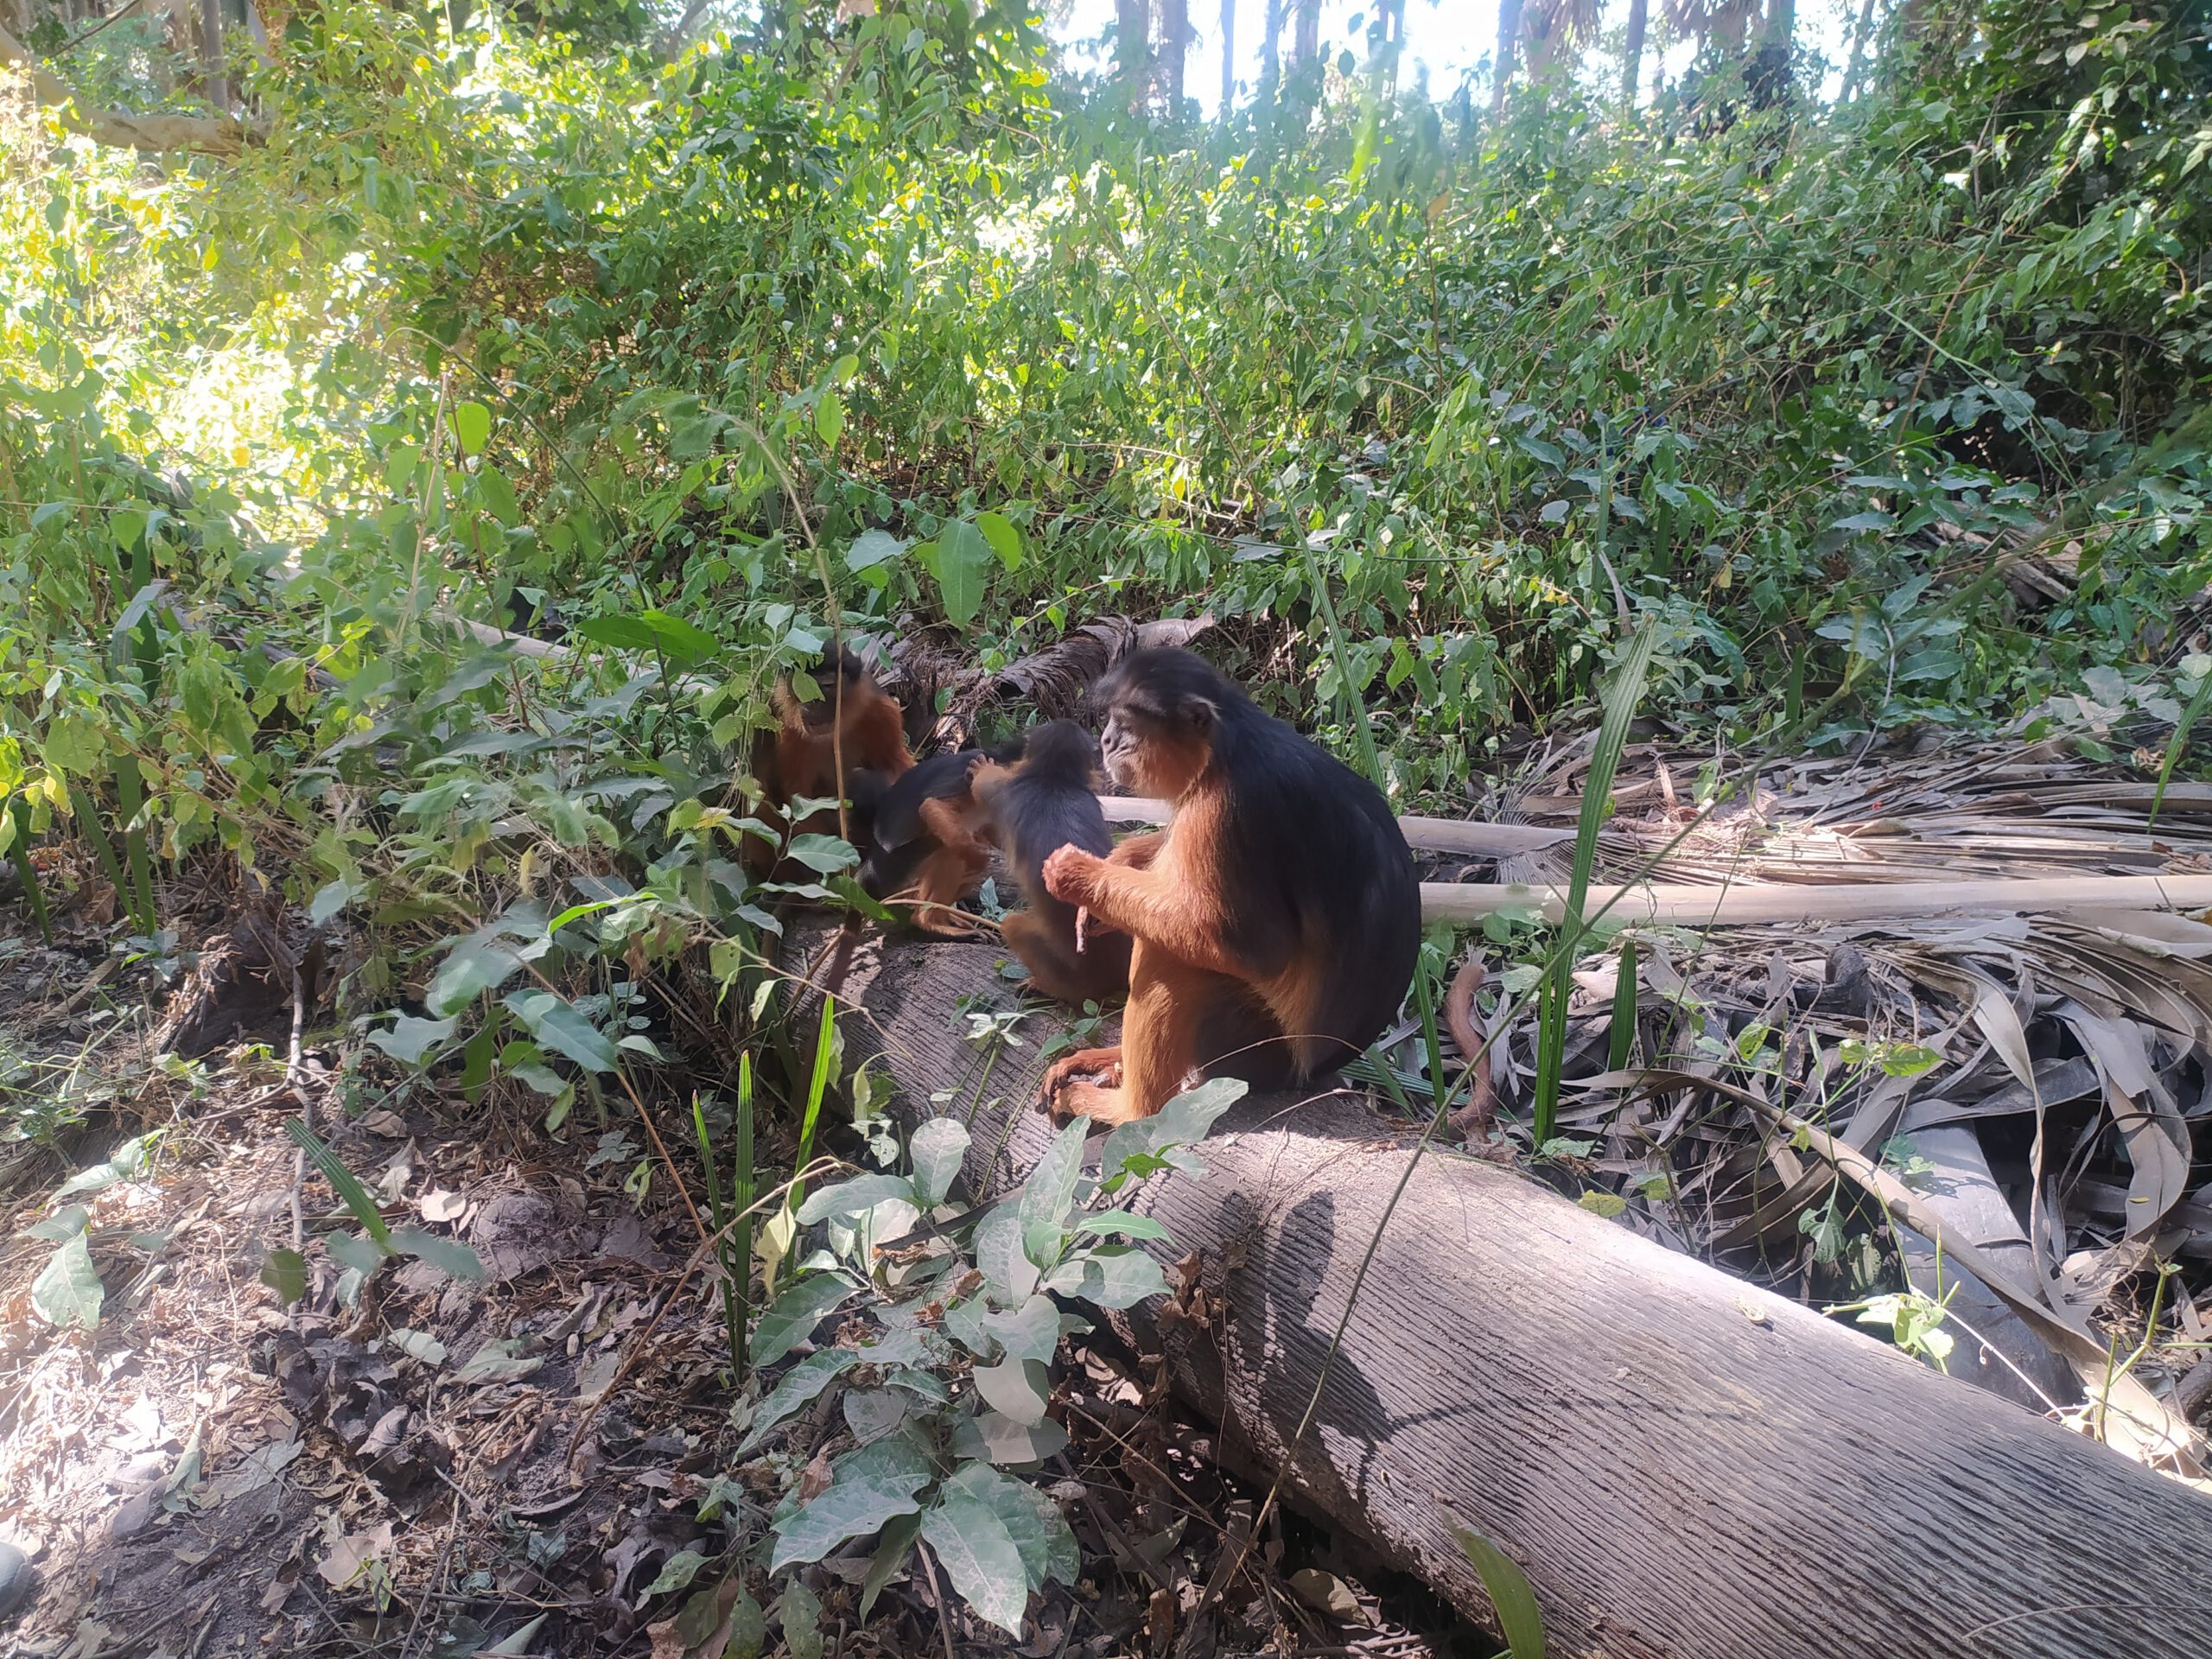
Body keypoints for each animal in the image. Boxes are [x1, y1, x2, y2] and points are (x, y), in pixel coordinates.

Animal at [973, 721, 1132, 1008]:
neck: (1055, 779)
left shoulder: (1007, 790)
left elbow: (984, 790)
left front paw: (980, 768)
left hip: (1073, 975)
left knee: (1012, 925)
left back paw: (1051, 988)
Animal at [1030, 650, 1415, 1132]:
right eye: (1112, 724)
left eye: (1126, 725)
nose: (1107, 740)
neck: (1226, 750)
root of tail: (1308, 1073)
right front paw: (1114, 870)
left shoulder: (1228, 814)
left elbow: (1255, 949)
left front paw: (1077, 875)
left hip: (1252, 1046)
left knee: (1169, 954)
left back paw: (1131, 1109)